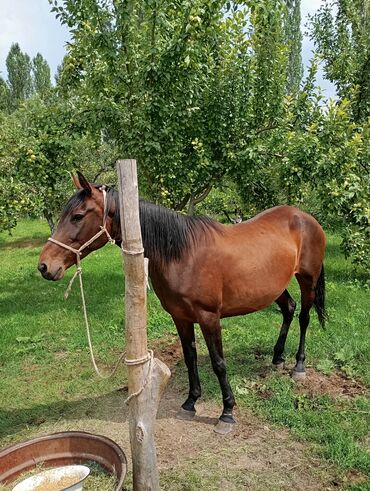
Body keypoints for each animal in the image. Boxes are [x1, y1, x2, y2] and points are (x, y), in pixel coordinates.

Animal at [39, 173, 326, 434]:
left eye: (77, 216)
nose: (45, 266)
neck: (183, 254)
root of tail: (304, 217)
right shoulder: (181, 317)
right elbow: (190, 358)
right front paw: (190, 403)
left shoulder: (209, 317)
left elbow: (218, 363)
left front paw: (227, 413)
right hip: (274, 286)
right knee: (288, 308)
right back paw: (277, 357)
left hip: (307, 279)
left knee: (304, 317)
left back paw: (298, 366)